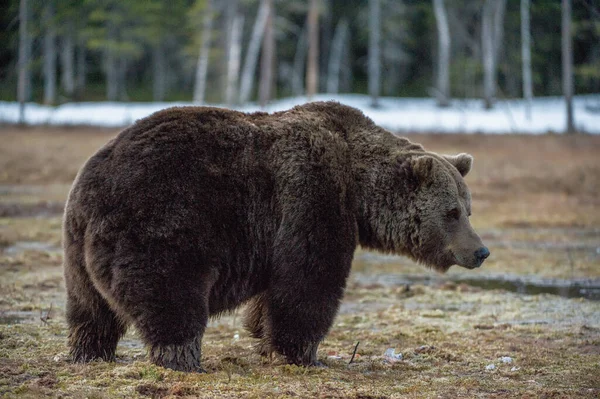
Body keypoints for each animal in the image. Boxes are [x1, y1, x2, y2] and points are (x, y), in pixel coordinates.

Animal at [63, 101, 490, 374]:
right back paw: (183, 358)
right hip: (163, 220)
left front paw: (263, 336)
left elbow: (272, 293)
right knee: (170, 293)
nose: (480, 251)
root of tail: (92, 187)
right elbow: (309, 281)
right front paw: (304, 353)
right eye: (452, 212)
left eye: (468, 209)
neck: (357, 185)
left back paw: (91, 352)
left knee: (90, 308)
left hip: (76, 247)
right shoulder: (312, 197)